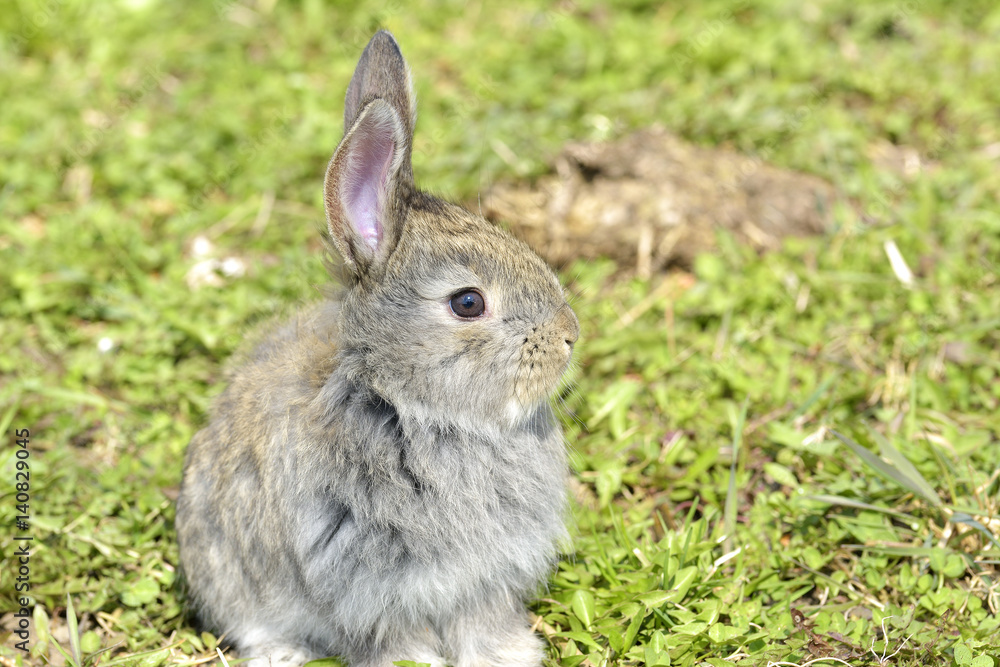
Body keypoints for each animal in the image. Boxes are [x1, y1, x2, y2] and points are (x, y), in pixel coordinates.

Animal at [175, 30, 579, 667]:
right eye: (468, 302)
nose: (570, 335)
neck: (410, 406)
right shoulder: (372, 587)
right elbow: (398, 638)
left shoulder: (482, 581)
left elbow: (481, 624)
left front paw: (508, 655)